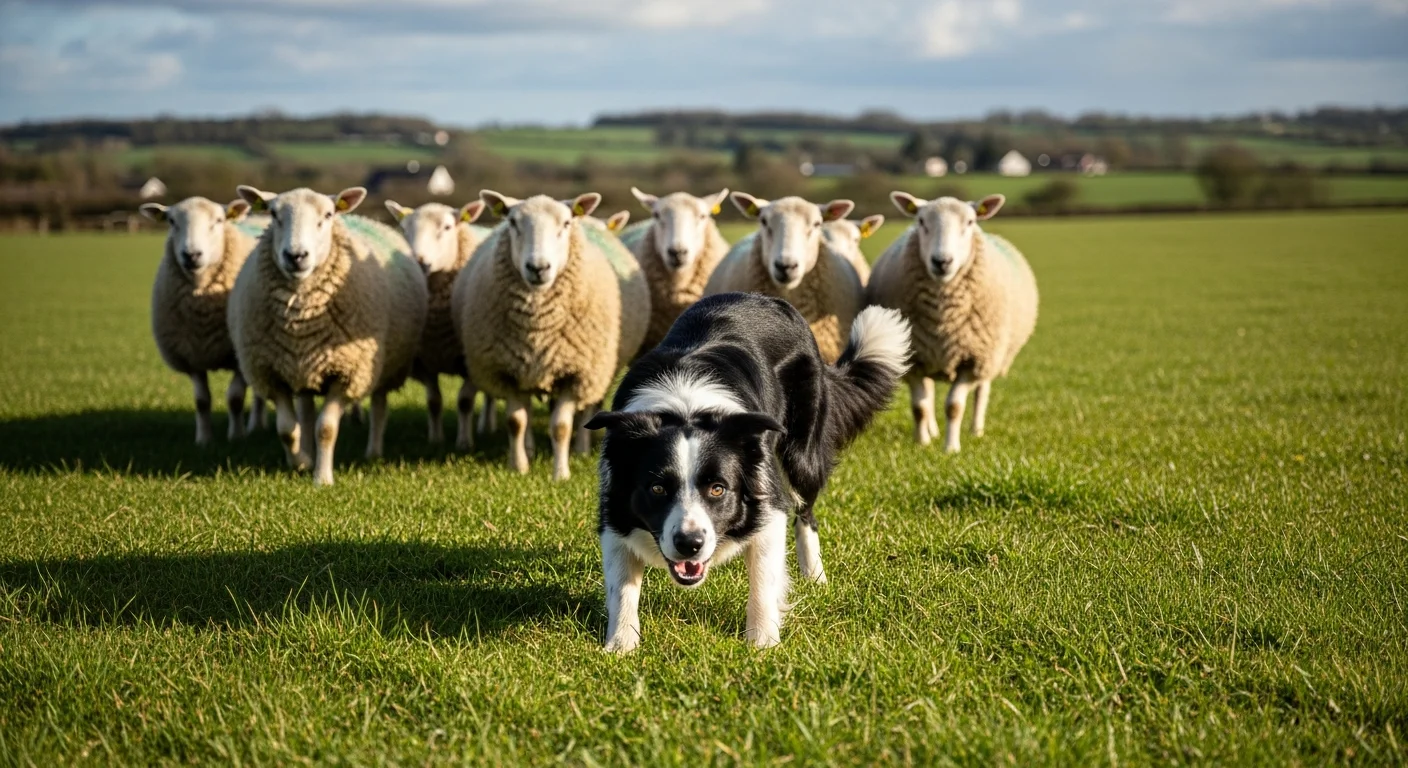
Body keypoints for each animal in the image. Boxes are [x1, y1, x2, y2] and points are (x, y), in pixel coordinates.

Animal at [142, 196, 269, 445]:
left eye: (218, 220)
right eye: (172, 221)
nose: (191, 255)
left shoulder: (238, 355)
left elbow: (235, 398)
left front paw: (236, 436)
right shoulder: (192, 356)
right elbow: (201, 401)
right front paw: (204, 439)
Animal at [229, 186, 428, 486]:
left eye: (328, 215)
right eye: (273, 214)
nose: (296, 256)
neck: (300, 320)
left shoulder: (347, 374)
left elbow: (326, 428)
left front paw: (322, 479)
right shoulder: (271, 373)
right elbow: (287, 428)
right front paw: (300, 462)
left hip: (385, 366)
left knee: (378, 405)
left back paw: (373, 452)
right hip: (301, 370)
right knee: (306, 412)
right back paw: (308, 453)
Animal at [386, 198, 493, 450]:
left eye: (447, 227)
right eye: (404, 229)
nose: (419, 261)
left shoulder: (471, 361)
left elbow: (464, 401)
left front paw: (464, 443)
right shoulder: (424, 360)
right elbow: (434, 402)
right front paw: (435, 440)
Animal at [451, 191, 650, 481]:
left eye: (566, 223)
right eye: (512, 222)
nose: (538, 267)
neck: (537, 327)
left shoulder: (576, 373)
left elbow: (561, 426)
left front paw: (561, 473)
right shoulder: (508, 371)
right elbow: (516, 421)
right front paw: (519, 466)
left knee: (586, 411)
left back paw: (580, 449)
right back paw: (530, 449)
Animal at [866, 192, 1038, 453]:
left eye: (970, 222)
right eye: (921, 221)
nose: (942, 261)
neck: (943, 318)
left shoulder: (973, 360)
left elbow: (954, 407)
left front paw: (951, 448)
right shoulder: (914, 359)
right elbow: (920, 407)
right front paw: (922, 444)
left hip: (990, 356)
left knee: (982, 392)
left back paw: (976, 430)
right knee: (929, 393)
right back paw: (932, 431)